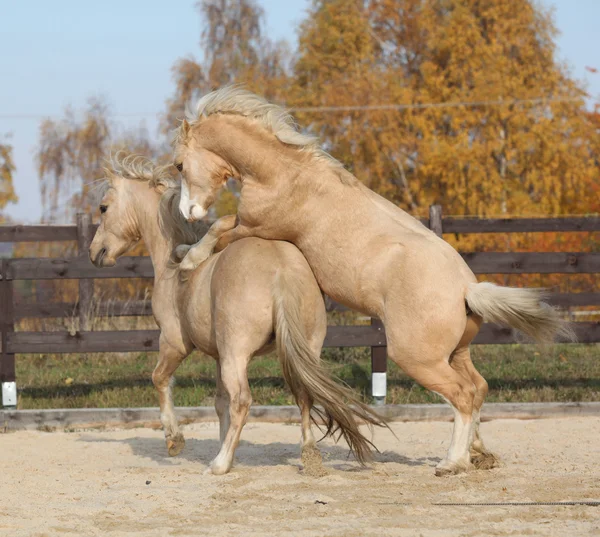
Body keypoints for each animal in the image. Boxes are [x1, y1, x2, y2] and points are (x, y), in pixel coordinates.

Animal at [89, 152, 390, 474]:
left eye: (103, 207)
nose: (95, 253)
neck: (172, 264)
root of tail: (281, 270)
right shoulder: (217, 356)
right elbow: (220, 403)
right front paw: (223, 446)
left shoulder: (174, 343)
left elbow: (161, 380)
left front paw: (175, 441)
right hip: (305, 348)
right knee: (304, 394)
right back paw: (308, 456)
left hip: (237, 354)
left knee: (243, 400)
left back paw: (219, 465)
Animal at [173, 86, 572, 476]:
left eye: (179, 164)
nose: (186, 211)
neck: (286, 174)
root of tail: (467, 289)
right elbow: (219, 226)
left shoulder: (255, 226)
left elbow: (219, 227)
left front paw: (186, 258)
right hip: (456, 353)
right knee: (478, 389)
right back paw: (479, 454)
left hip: (418, 359)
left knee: (461, 395)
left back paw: (451, 463)